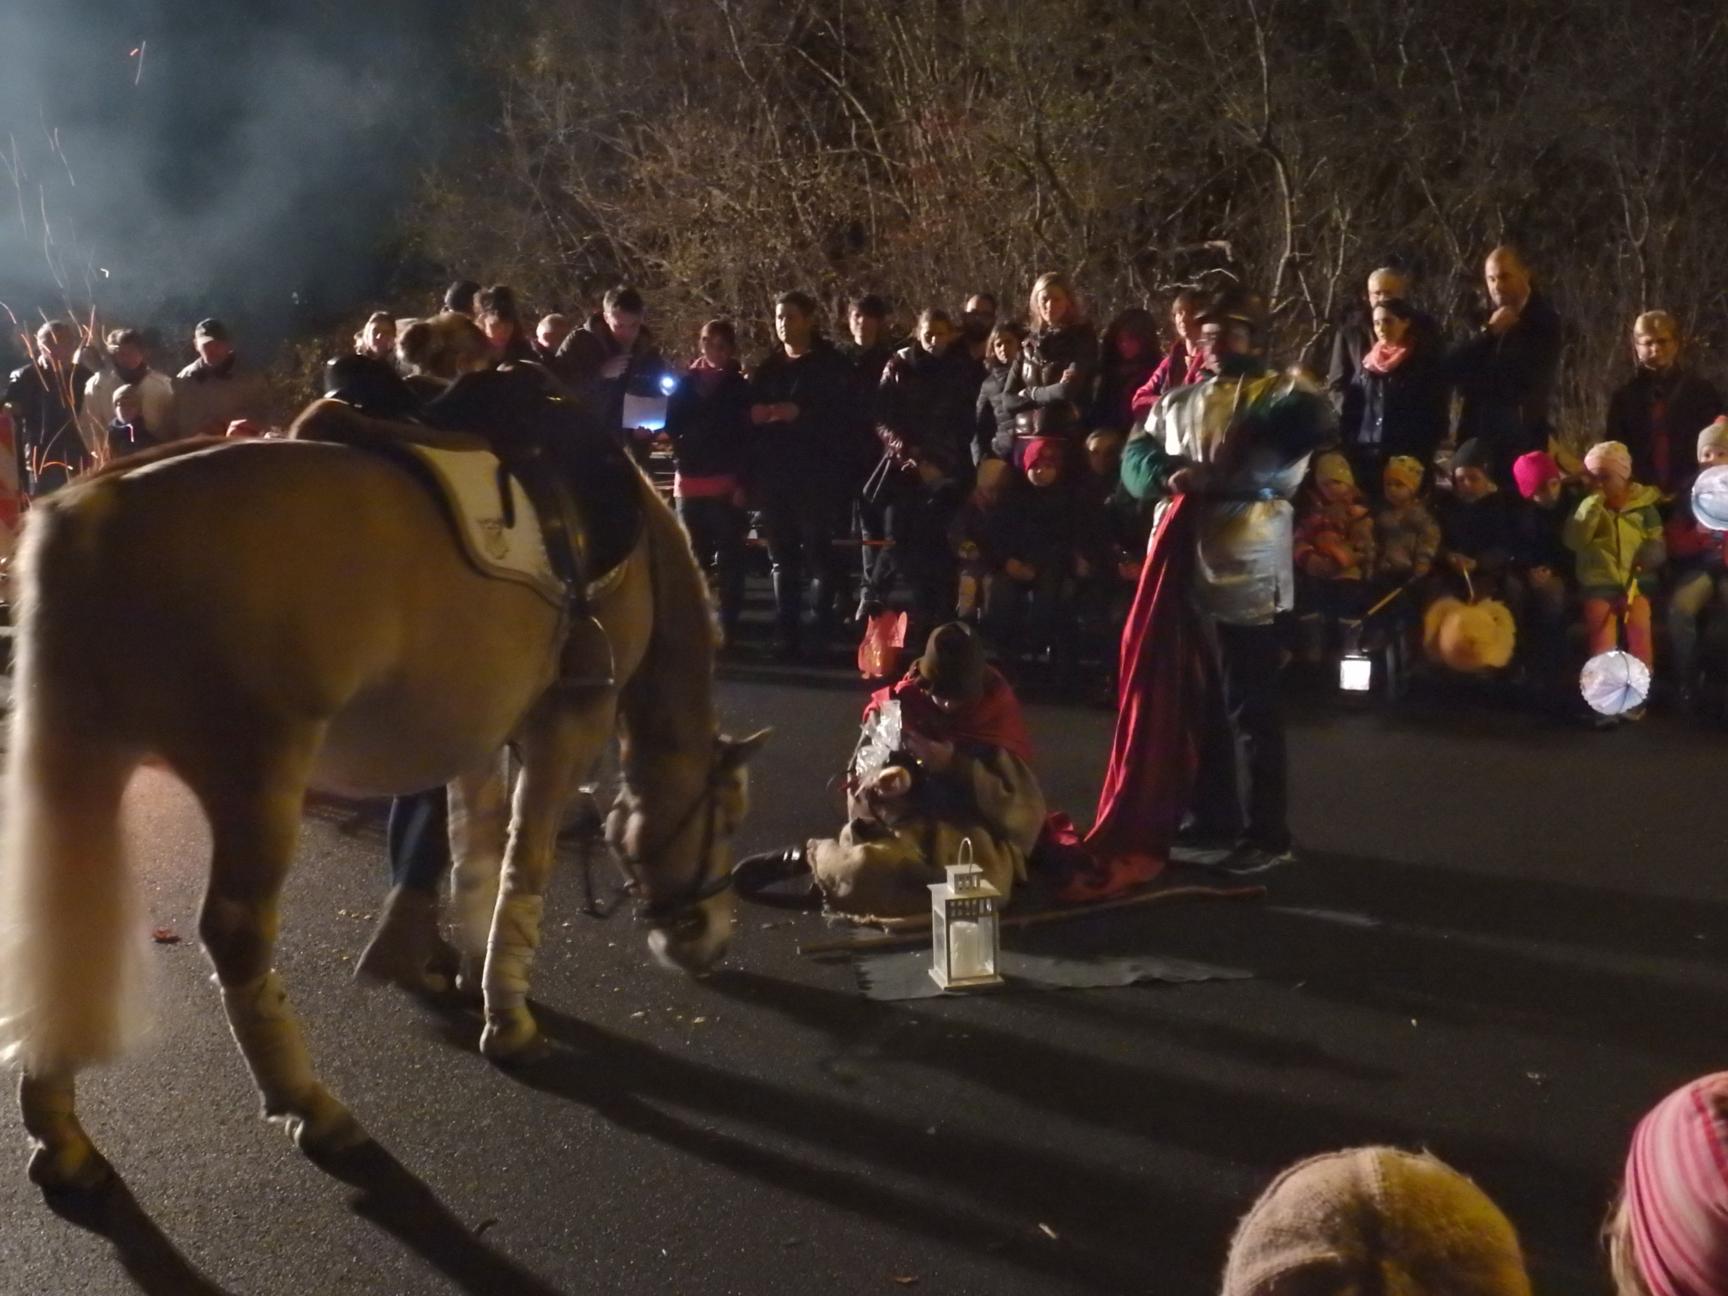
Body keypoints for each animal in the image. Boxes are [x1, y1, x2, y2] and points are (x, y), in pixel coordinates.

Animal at [0, 411, 770, 1195]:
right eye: (730, 813)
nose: (710, 939)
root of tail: (96, 504)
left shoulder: (474, 731)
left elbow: (473, 847)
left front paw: (467, 963)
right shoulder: (569, 722)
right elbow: (523, 864)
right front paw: (509, 1016)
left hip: (81, 760)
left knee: (57, 921)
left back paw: (59, 1131)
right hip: (257, 781)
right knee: (236, 934)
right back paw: (311, 1108)